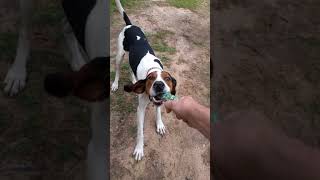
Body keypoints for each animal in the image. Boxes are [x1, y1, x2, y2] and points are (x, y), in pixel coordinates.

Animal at [3, 0, 109, 180]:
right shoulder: (98, 152)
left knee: (66, 27)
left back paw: (77, 61)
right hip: (27, 6)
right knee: (25, 32)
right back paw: (17, 72)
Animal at [112, 0, 178, 160]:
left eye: (167, 79)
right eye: (150, 79)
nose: (159, 85)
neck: (153, 68)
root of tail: (130, 25)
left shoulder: (159, 101)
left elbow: (158, 111)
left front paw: (159, 124)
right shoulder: (140, 109)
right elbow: (140, 132)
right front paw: (139, 149)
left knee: (131, 69)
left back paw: (133, 79)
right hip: (119, 55)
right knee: (117, 69)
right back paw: (115, 84)